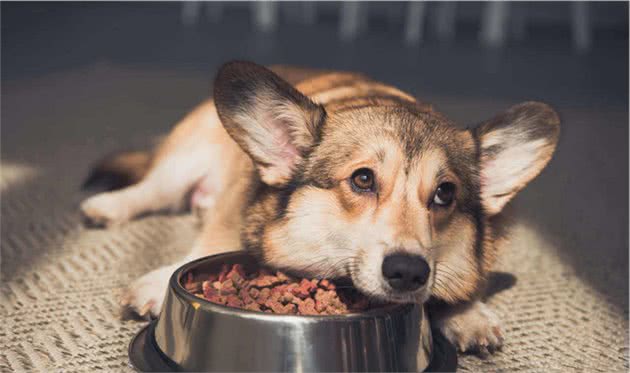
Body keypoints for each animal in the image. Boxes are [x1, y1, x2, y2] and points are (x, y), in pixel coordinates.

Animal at [81, 60, 560, 352]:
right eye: (363, 179)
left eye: (444, 194)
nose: (408, 272)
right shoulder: (231, 206)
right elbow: (206, 245)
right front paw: (155, 284)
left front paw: (467, 315)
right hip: (186, 157)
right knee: (151, 188)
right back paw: (106, 206)